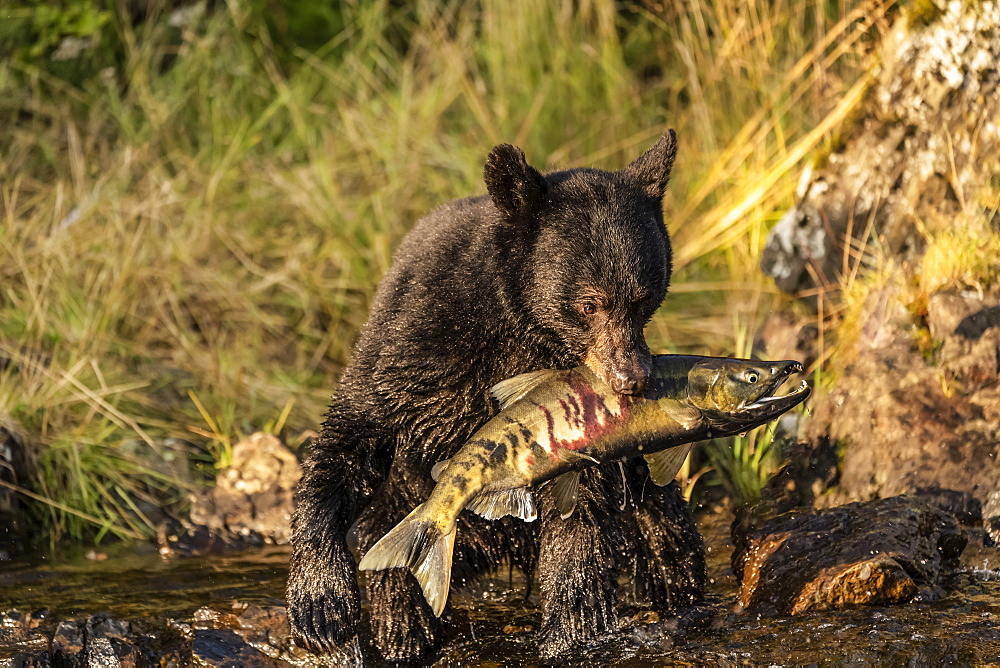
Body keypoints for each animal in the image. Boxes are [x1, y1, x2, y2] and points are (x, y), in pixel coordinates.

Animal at [288, 132, 712, 664]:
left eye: (643, 299)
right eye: (589, 304)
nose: (631, 380)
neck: (519, 323)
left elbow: (579, 519)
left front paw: (569, 633)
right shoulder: (416, 344)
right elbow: (351, 434)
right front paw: (319, 605)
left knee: (669, 542)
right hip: (414, 520)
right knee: (387, 558)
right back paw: (401, 633)